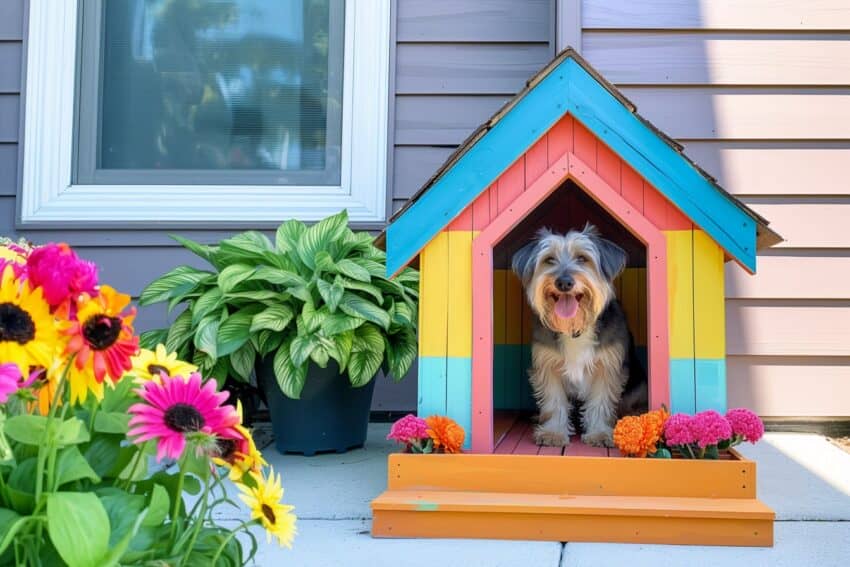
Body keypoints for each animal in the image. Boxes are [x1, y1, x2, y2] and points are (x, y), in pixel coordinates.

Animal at [510, 224, 644, 446]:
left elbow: (600, 401)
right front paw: (553, 433)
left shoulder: (607, 367)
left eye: (582, 258)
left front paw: (599, 433)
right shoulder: (548, 366)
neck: (574, 327)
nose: (564, 282)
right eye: (549, 260)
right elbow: (554, 401)